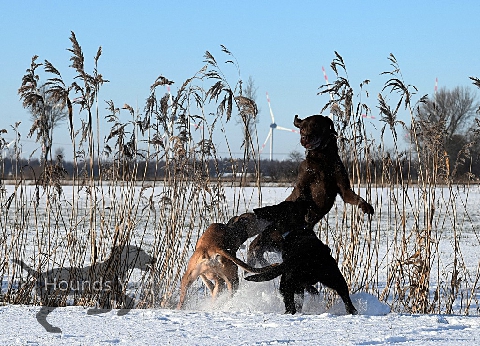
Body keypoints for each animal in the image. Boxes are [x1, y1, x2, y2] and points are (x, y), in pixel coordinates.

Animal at [13, 245, 155, 334]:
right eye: (139, 250)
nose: (153, 259)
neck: (112, 268)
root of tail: (40, 274)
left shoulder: (113, 293)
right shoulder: (108, 293)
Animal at [248, 115, 376, 266]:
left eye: (315, 125)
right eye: (302, 128)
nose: (304, 138)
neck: (322, 159)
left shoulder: (344, 189)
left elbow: (356, 198)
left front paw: (366, 206)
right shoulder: (302, 185)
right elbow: (303, 200)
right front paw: (307, 213)